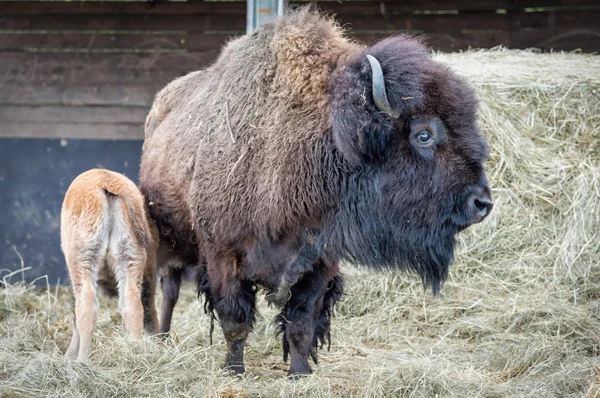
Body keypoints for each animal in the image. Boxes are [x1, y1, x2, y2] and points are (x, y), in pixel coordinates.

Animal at [61, 169, 159, 360]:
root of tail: (108, 181)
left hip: (84, 261)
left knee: (87, 307)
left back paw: (81, 360)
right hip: (130, 260)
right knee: (133, 306)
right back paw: (132, 354)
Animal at [139, 8, 492, 376]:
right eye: (423, 134)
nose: (481, 202)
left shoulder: (319, 264)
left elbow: (301, 322)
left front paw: (299, 373)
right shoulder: (224, 256)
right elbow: (235, 320)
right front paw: (234, 369)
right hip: (170, 235)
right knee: (169, 287)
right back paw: (162, 338)